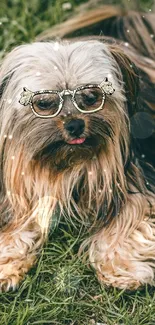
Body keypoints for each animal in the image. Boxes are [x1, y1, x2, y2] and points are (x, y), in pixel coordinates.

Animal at [0, 3, 154, 290]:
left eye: (91, 97)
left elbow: (130, 218)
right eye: (44, 103)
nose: (74, 125)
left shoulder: (134, 178)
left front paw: (122, 268)